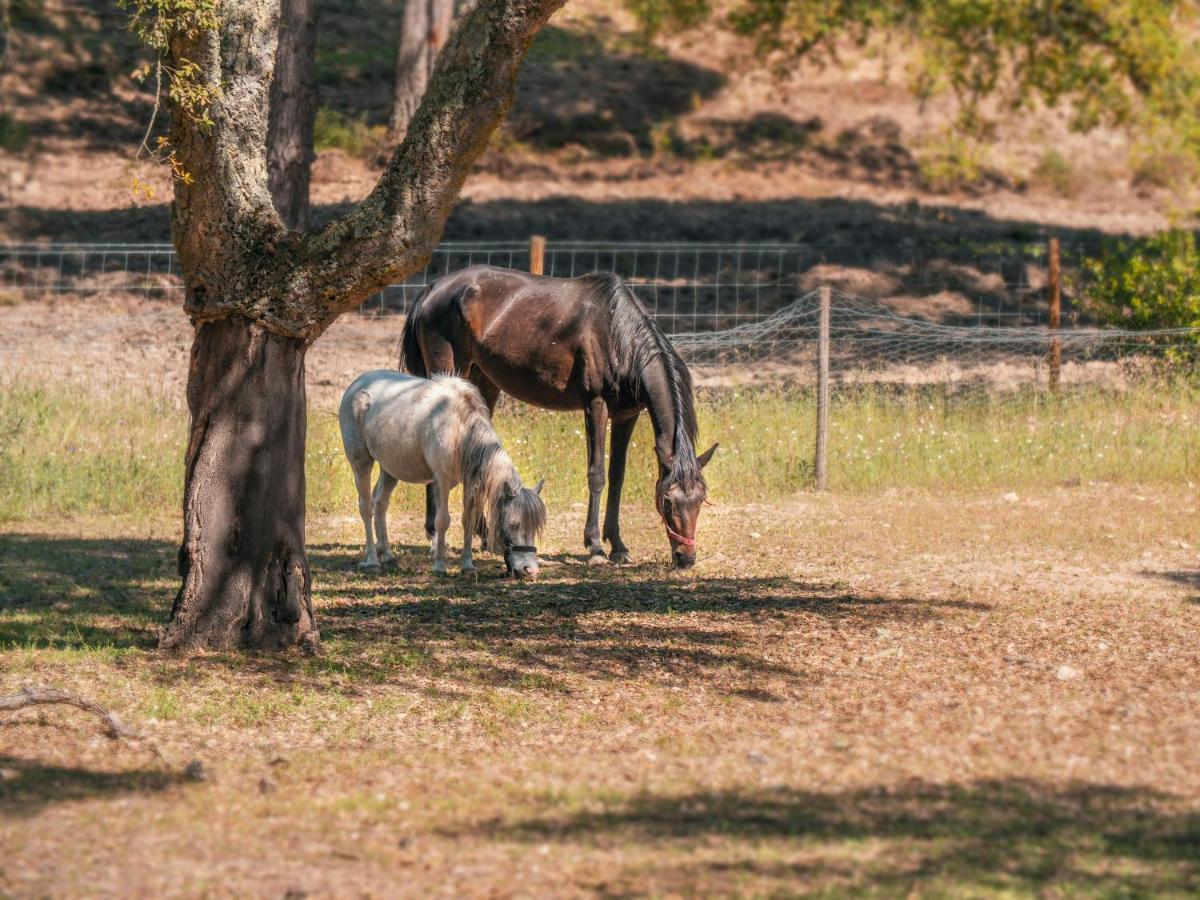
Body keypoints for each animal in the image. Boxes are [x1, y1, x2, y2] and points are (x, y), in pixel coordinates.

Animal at [336, 372, 547, 578]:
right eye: (513, 524)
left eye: (535, 527)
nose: (529, 571)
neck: (459, 428)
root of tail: (357, 383)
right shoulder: (442, 481)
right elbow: (442, 520)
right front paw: (439, 565)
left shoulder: (470, 484)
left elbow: (468, 521)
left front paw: (467, 565)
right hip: (361, 464)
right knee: (366, 508)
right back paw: (372, 561)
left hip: (390, 468)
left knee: (380, 504)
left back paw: (388, 557)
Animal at [405, 264, 710, 566]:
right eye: (668, 501)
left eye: (701, 499)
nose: (686, 558)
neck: (618, 335)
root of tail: (435, 287)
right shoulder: (595, 405)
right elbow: (597, 474)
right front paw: (595, 546)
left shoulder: (626, 415)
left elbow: (617, 476)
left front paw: (618, 546)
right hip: (448, 375)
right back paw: (434, 533)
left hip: (484, 383)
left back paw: (482, 534)